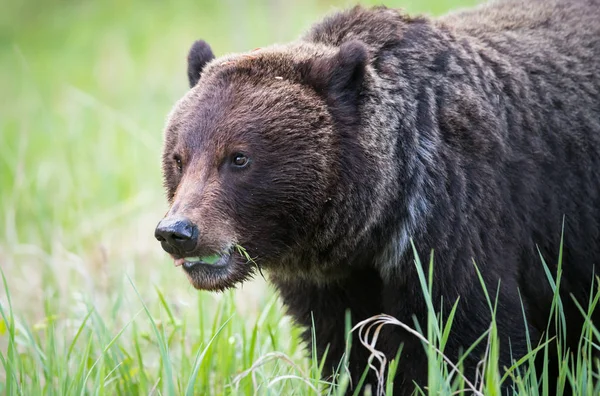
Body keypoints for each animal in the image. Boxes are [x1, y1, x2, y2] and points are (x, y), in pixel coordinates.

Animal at [154, 0, 600, 392]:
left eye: (238, 157)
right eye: (179, 157)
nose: (178, 231)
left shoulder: (459, 230)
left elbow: (479, 344)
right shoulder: (331, 288)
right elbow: (350, 357)